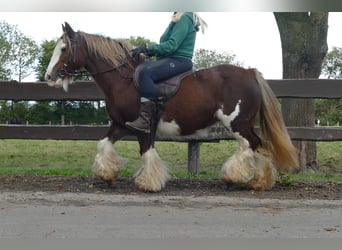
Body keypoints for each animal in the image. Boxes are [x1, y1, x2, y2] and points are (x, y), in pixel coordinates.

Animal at [44, 22, 296, 192]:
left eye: (64, 48)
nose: (49, 76)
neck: (124, 81)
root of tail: (250, 72)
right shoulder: (120, 125)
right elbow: (102, 145)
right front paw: (106, 174)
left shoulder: (144, 128)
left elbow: (147, 153)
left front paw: (148, 182)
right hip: (243, 123)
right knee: (259, 146)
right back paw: (260, 181)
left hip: (237, 122)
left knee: (249, 145)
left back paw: (233, 177)